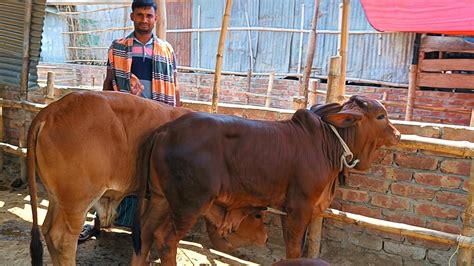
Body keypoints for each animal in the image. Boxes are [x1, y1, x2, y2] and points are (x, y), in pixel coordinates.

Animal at [131, 94, 400, 264]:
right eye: (380, 116)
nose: (397, 134)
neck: (327, 141)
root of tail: (166, 130)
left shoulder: (287, 209)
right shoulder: (299, 207)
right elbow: (294, 250)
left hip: (160, 198)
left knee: (145, 234)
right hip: (190, 204)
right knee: (166, 240)